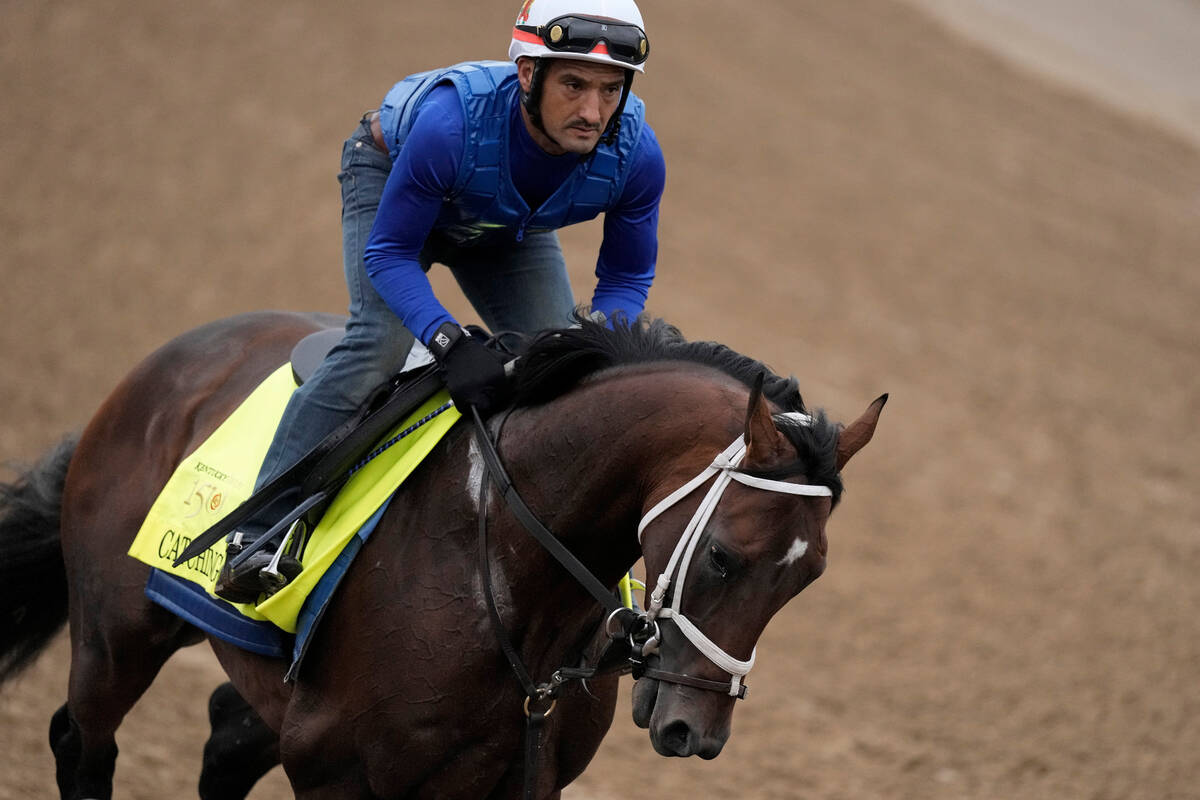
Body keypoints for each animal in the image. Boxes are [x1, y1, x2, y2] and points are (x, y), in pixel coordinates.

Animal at [0, 311, 883, 800]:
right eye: (725, 558)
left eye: (807, 578)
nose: (694, 731)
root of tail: (171, 361)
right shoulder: (336, 773)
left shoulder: (523, 779)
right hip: (118, 633)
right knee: (81, 742)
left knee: (223, 736)